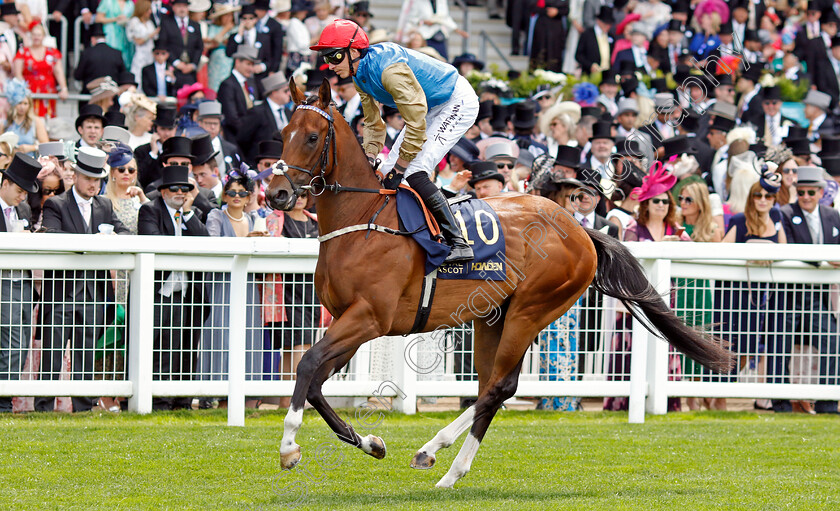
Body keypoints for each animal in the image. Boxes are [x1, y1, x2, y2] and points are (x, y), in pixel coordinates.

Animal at [266, 78, 732, 490]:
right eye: (282, 134)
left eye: (312, 137)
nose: (276, 195)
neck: (362, 219)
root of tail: (581, 230)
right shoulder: (349, 318)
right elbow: (316, 383)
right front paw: (369, 442)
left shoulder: (369, 318)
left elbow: (307, 365)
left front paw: (288, 448)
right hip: (492, 315)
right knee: (489, 386)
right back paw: (440, 460)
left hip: (532, 309)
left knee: (501, 386)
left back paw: (441, 460)